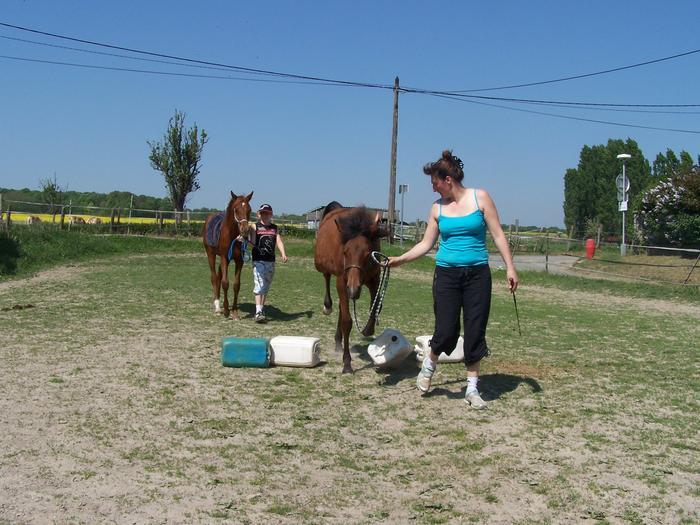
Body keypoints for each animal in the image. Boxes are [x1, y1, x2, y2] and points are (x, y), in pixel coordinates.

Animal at [202, 190, 254, 318]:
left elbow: (236, 285)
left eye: (249, 209)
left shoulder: (239, 260)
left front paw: (234, 311)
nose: (245, 231)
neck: (232, 235)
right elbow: (225, 283)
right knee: (214, 277)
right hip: (211, 254)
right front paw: (226, 310)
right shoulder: (225, 258)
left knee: (218, 276)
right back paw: (217, 306)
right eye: (236, 209)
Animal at [316, 202, 386, 372]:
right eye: (345, 252)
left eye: (368, 254)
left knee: (342, 307)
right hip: (329, 272)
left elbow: (375, 306)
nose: (353, 289)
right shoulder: (342, 282)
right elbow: (347, 322)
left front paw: (368, 329)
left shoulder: (374, 280)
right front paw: (347, 363)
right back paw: (327, 306)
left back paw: (338, 341)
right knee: (327, 279)